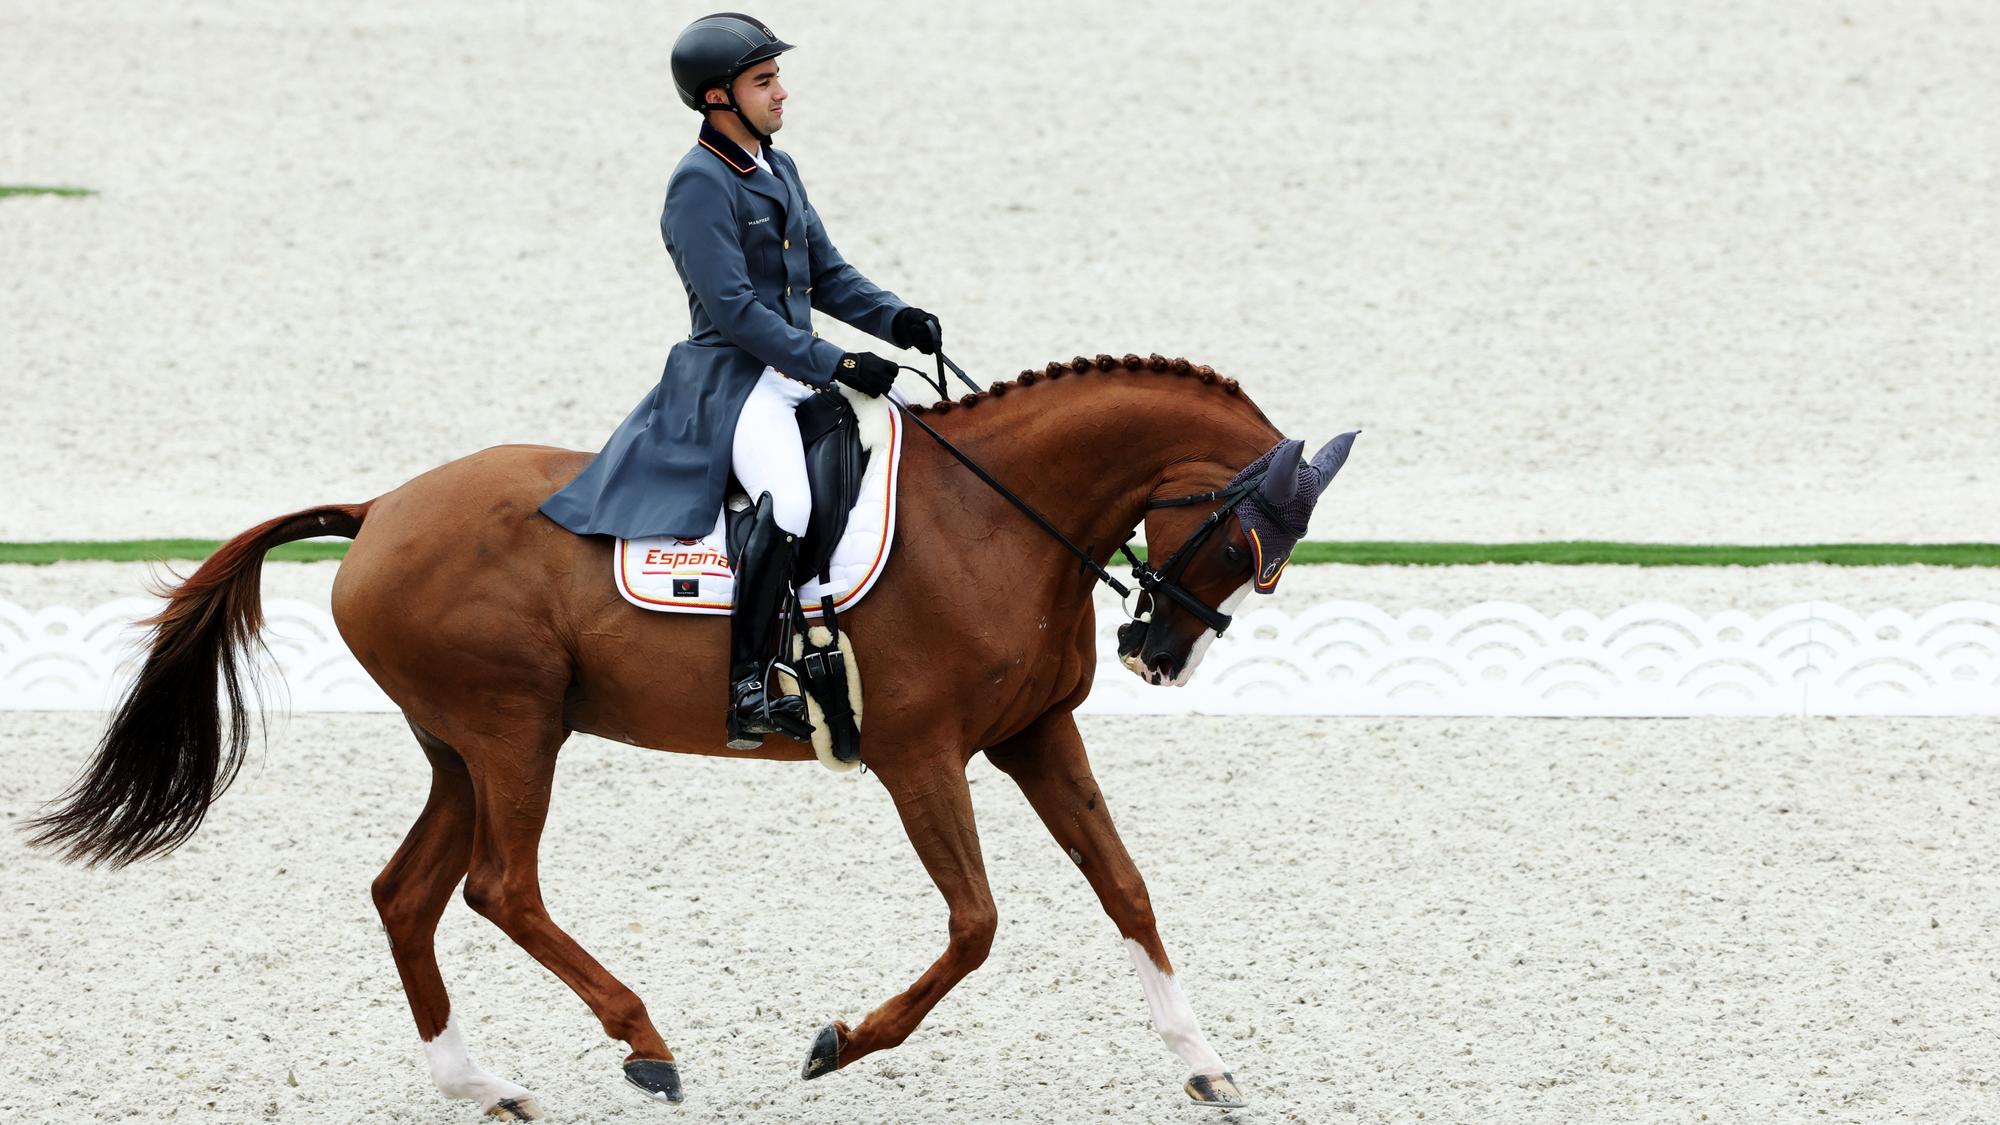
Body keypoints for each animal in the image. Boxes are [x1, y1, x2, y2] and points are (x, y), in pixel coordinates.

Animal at [27, 350, 1344, 1112]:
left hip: (466, 745)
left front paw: (1201, 1062)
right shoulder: (920, 756)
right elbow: (974, 925)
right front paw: (839, 1042)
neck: (993, 518)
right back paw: (643, 1041)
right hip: (512, 733)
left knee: (408, 894)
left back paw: (479, 1083)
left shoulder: (1035, 738)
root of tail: (382, 506)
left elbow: (1124, 888)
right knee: (500, 886)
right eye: (1245, 539)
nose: (1158, 654)